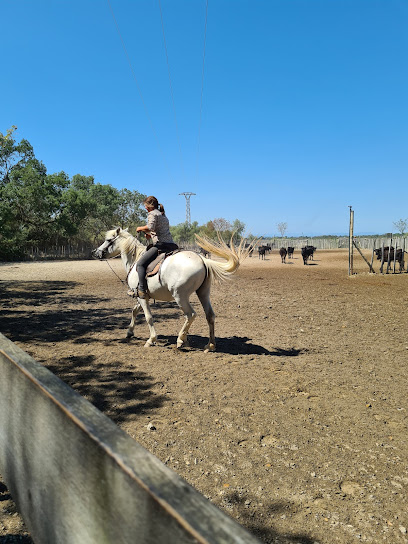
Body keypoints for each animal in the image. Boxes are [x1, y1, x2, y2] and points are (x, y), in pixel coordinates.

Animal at [93, 227, 250, 350]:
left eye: (108, 240)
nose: (96, 252)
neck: (135, 259)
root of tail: (202, 260)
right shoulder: (141, 296)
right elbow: (134, 311)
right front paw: (129, 332)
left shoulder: (142, 297)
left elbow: (148, 317)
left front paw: (151, 339)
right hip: (203, 293)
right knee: (210, 315)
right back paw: (210, 345)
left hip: (180, 296)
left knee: (191, 315)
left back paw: (181, 339)